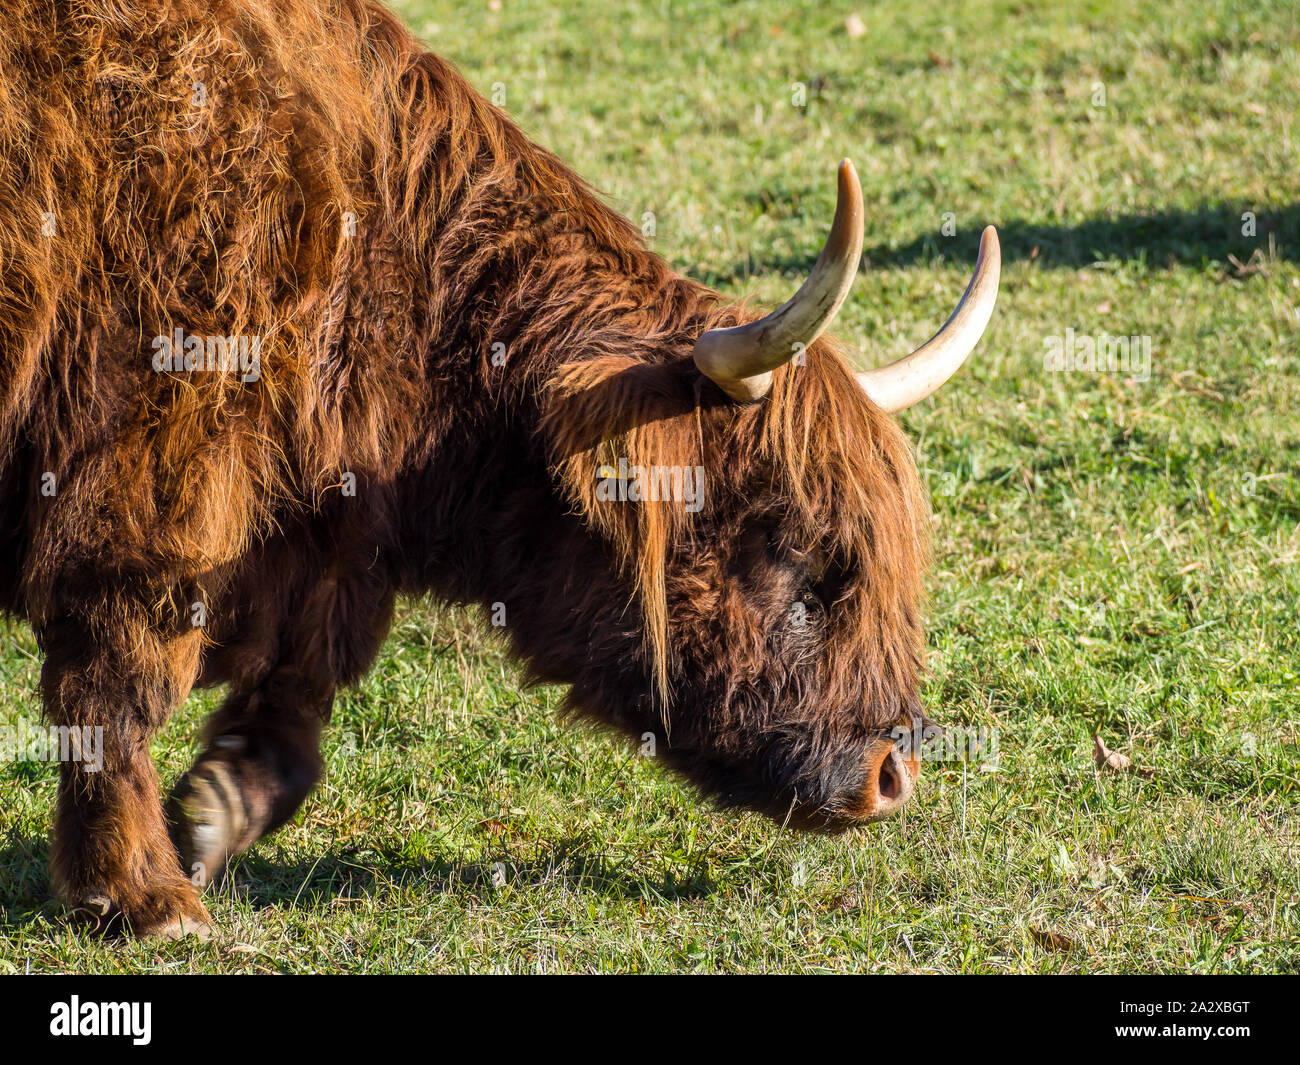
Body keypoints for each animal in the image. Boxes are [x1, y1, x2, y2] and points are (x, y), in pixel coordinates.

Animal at [0, 0, 999, 938]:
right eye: (795, 550)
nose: (893, 774)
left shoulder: (320, 528)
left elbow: (298, 693)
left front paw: (211, 813)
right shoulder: (151, 481)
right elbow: (119, 684)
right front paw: (144, 892)